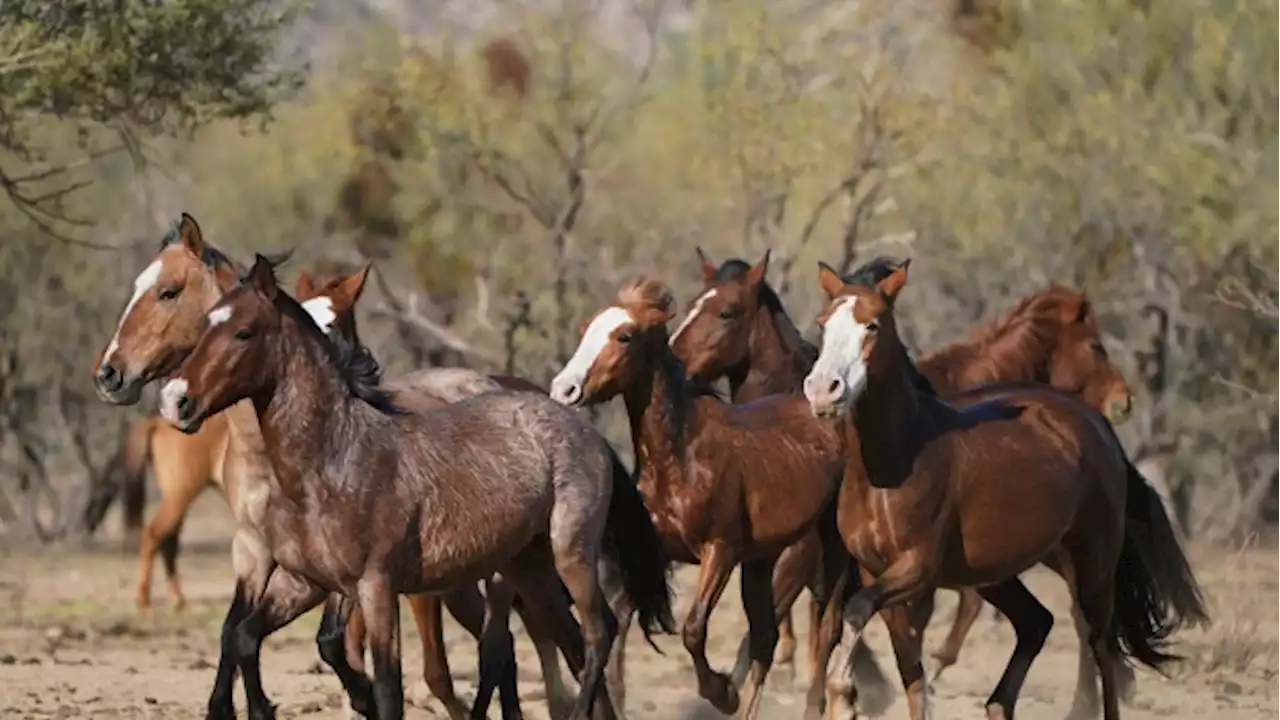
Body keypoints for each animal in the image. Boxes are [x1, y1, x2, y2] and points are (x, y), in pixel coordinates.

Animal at [547, 275, 849, 717]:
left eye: (624, 336)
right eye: (587, 327)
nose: (564, 389)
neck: (681, 456)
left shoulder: (719, 551)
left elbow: (693, 628)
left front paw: (722, 693)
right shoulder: (653, 554)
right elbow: (621, 619)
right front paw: (616, 698)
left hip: (828, 551)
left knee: (826, 629)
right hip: (761, 561)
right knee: (765, 638)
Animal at [670, 248, 1152, 707]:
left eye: (726, 312)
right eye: (692, 305)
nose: (1124, 401)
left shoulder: (820, 558)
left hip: (1075, 551)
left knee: (1090, 627)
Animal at [803, 258, 1203, 717]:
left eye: (872, 325)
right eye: (822, 324)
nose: (823, 390)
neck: (891, 464)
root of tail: (1094, 423)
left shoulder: (916, 569)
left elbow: (857, 612)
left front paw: (844, 692)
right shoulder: (875, 571)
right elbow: (909, 675)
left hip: (1092, 559)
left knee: (1100, 644)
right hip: (998, 571)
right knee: (1037, 623)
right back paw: (998, 703)